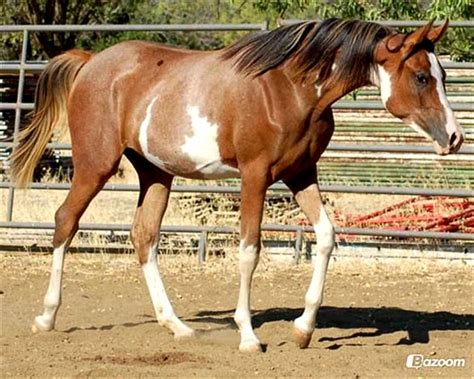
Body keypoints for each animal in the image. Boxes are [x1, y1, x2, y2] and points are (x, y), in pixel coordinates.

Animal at [10, 18, 462, 354]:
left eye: (441, 75)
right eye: (421, 76)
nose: (455, 138)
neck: (289, 89)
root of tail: (91, 63)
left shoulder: (301, 173)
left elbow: (326, 236)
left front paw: (302, 330)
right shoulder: (254, 176)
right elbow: (249, 250)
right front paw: (248, 336)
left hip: (155, 173)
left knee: (144, 236)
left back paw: (178, 327)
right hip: (95, 164)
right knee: (66, 221)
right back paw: (46, 317)